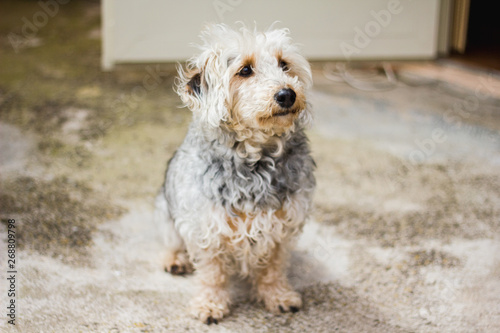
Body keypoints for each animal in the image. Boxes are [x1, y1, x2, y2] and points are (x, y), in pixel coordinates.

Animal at [154, 24, 314, 324]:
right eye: (245, 70)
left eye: (284, 64)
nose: (287, 94)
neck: (256, 162)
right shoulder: (206, 225)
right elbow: (212, 274)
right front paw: (210, 304)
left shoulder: (283, 224)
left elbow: (274, 266)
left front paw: (278, 295)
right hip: (166, 211)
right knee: (171, 243)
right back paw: (174, 260)